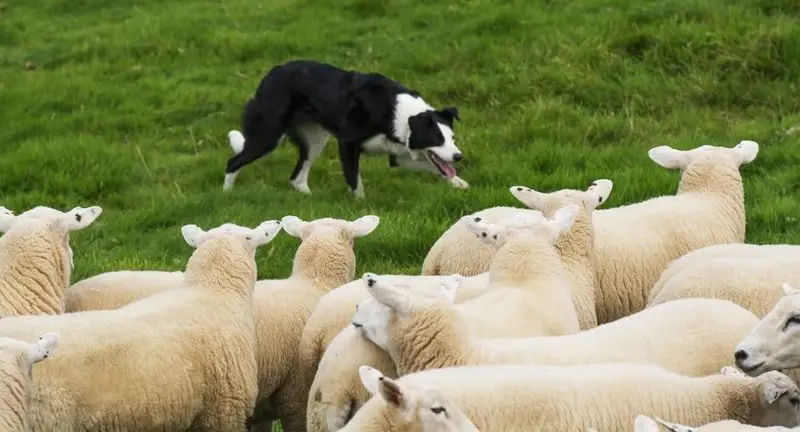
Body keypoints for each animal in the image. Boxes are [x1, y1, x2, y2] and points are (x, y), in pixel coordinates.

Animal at [222, 60, 468, 198]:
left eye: (452, 137)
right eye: (436, 139)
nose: (458, 156)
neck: (398, 113)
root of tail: (271, 73)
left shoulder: (399, 155)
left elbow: (437, 169)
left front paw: (459, 183)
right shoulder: (348, 143)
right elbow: (354, 180)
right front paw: (361, 209)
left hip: (314, 140)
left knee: (296, 178)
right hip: (268, 135)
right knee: (233, 161)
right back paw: (227, 194)